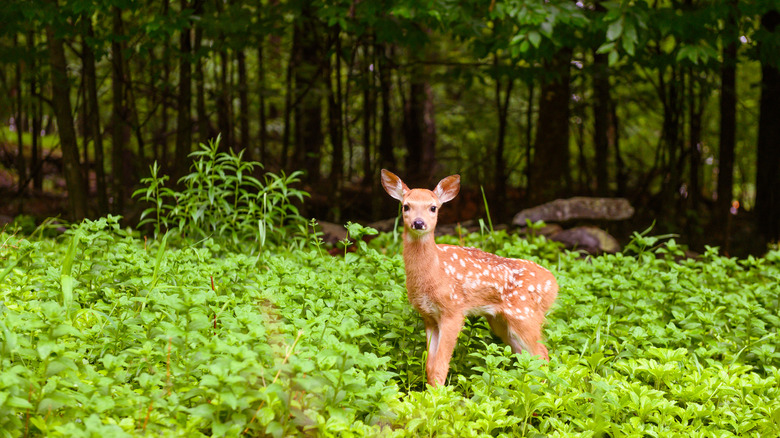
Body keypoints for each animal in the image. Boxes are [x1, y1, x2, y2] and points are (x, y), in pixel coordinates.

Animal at [380, 169, 556, 384]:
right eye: (406, 206)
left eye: (433, 207)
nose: (419, 223)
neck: (434, 273)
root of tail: (554, 284)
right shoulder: (429, 317)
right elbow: (429, 366)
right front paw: (430, 392)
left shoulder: (453, 311)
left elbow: (440, 366)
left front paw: (438, 394)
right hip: (501, 321)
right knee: (525, 355)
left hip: (525, 314)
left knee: (542, 354)